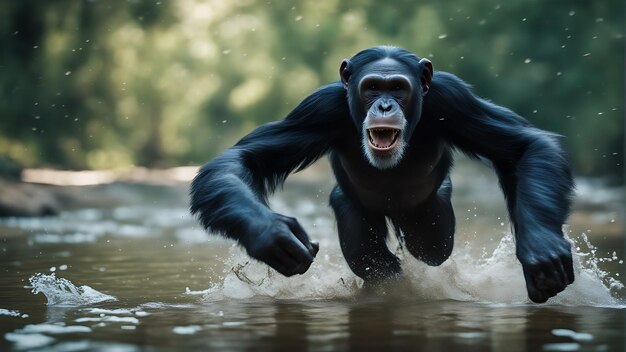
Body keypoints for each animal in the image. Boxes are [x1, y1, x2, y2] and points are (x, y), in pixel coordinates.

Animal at [188, 45, 572, 302]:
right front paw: (271, 233)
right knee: (367, 252)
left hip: (429, 222)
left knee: (432, 248)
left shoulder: (454, 98)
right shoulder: (318, 108)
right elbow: (244, 160)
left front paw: (541, 249)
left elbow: (524, 145)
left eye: (398, 88)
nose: (385, 105)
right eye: (372, 87)